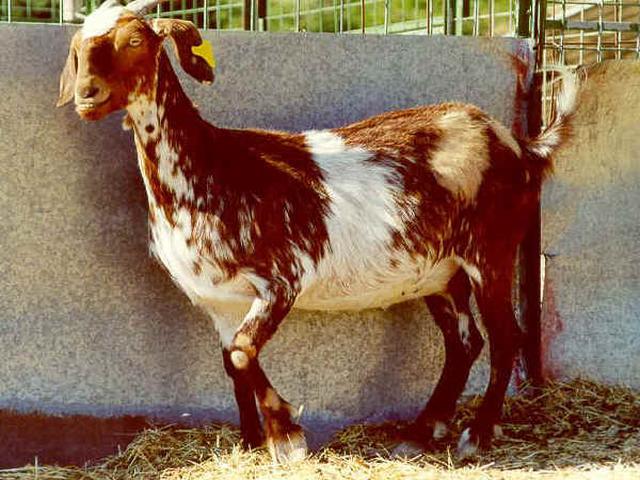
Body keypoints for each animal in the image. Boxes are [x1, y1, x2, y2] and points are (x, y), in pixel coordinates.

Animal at [57, 0, 576, 463]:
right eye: (79, 46)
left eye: (136, 40)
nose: (87, 95)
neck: (211, 166)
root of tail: (520, 145)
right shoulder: (220, 302)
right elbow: (232, 364)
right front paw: (251, 442)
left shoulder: (282, 278)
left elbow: (243, 353)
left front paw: (287, 436)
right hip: (439, 273)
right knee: (465, 342)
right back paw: (422, 432)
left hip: (491, 252)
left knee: (506, 339)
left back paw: (475, 436)